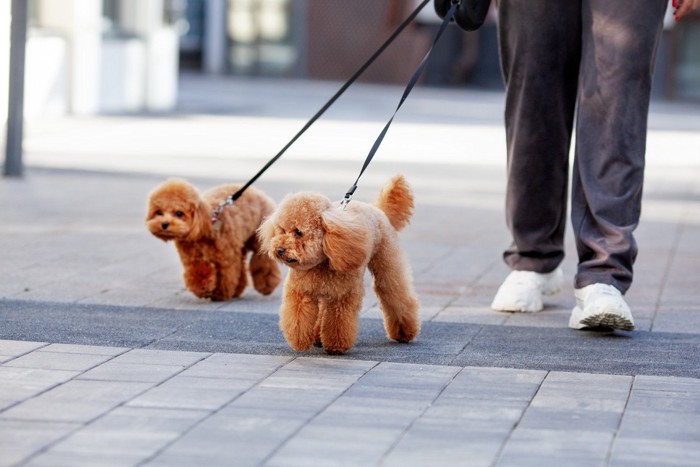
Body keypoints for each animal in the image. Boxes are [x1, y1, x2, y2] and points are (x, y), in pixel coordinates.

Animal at [146, 177, 280, 302]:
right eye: (158, 212)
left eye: (179, 213)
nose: (164, 224)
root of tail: (259, 192)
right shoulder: (192, 258)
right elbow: (197, 271)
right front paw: (202, 288)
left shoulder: (225, 258)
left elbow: (224, 276)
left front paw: (219, 293)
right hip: (239, 246)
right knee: (241, 266)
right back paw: (237, 290)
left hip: (258, 241)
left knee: (263, 262)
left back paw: (266, 286)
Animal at [258, 175, 418, 354]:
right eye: (281, 230)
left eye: (298, 232)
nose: (279, 250)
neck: (320, 262)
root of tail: (378, 209)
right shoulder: (301, 291)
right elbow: (297, 317)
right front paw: (299, 339)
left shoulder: (342, 296)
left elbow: (338, 322)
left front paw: (336, 345)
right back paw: (317, 336)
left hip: (387, 264)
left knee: (394, 293)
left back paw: (404, 333)